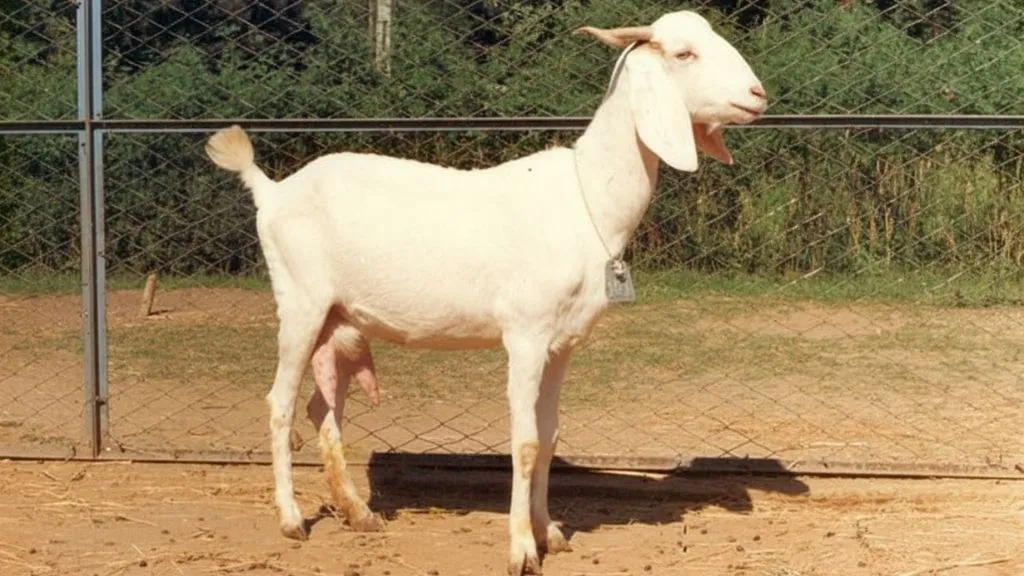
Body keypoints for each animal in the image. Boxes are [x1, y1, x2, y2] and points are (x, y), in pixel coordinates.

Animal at [205, 10, 766, 575]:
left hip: (337, 319)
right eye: (683, 54)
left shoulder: (561, 344)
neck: (585, 196)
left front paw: (551, 532)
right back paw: (292, 520)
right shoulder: (525, 334)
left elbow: (550, 435)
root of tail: (272, 191)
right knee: (280, 403)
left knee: (323, 409)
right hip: (299, 303)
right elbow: (525, 441)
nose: (758, 94)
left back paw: (359, 513)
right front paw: (522, 549)